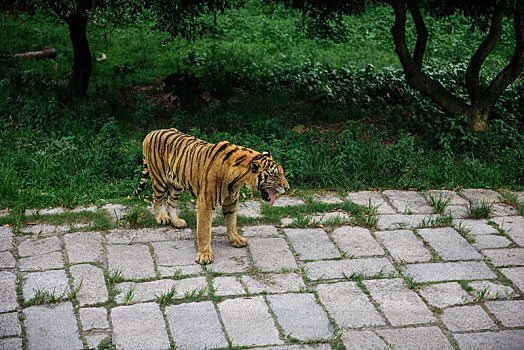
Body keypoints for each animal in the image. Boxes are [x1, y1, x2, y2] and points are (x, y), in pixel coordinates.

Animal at [133, 128, 288, 262]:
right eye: (274, 175)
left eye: (281, 173)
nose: (287, 188)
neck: (239, 179)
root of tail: (152, 132)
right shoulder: (206, 202)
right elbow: (204, 230)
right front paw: (204, 255)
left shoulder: (231, 200)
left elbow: (232, 221)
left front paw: (236, 240)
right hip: (159, 178)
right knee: (157, 199)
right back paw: (162, 218)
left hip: (177, 184)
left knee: (170, 200)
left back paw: (176, 222)